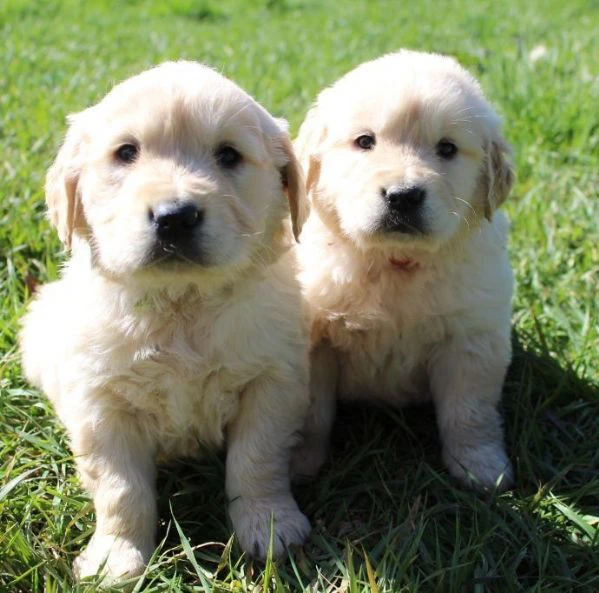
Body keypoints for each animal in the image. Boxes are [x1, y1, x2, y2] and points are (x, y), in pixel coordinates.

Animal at [19, 61, 312, 584]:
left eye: (229, 155)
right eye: (126, 153)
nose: (175, 217)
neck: (181, 306)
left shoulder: (273, 382)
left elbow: (257, 461)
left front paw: (269, 525)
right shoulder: (101, 405)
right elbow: (120, 488)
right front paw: (116, 557)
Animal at [292, 52, 516, 490]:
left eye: (447, 148)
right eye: (365, 141)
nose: (403, 196)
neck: (394, 262)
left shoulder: (471, 339)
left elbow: (469, 412)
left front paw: (480, 466)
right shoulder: (315, 339)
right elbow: (310, 411)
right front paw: (298, 464)